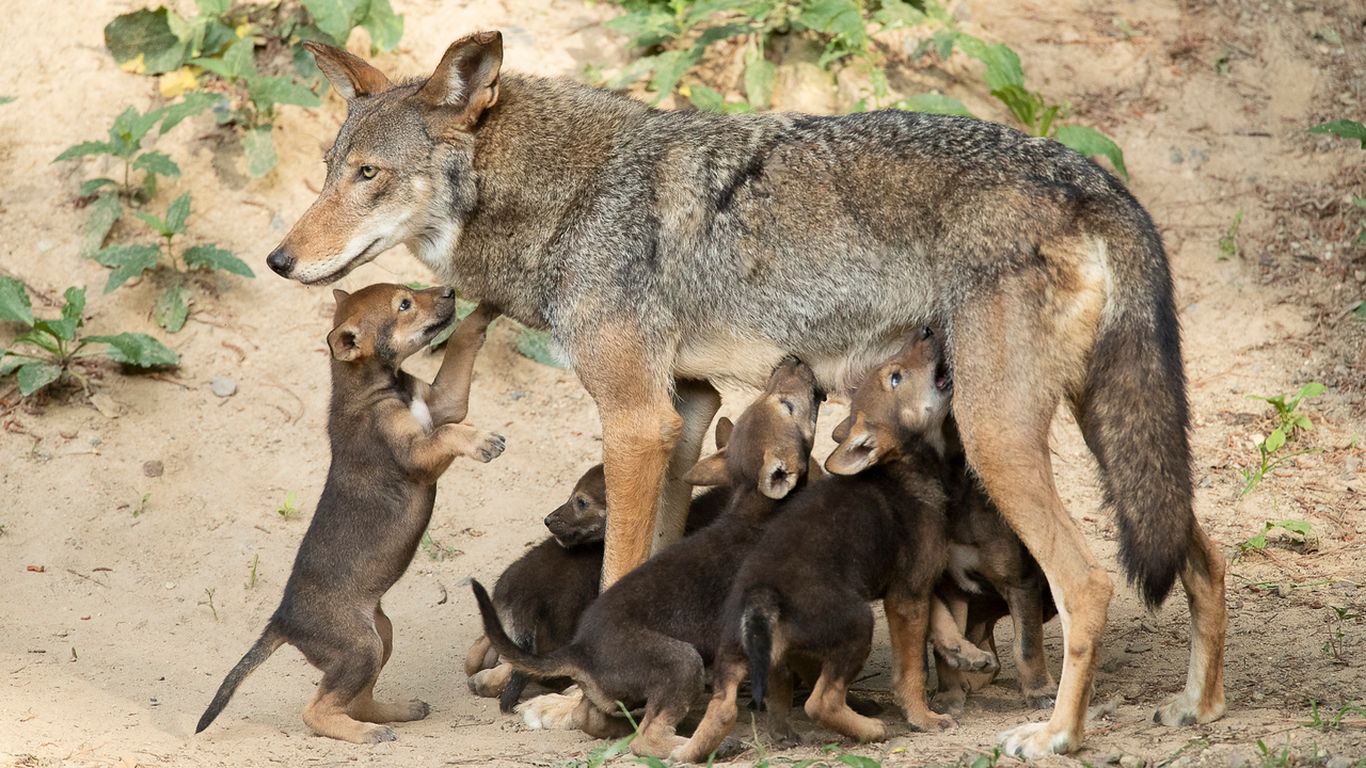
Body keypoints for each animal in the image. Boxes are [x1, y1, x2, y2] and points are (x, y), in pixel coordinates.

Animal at [264, 32, 1226, 756]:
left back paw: (1055, 734)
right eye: (329, 168)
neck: (571, 200)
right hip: (1111, 437)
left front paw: (576, 709)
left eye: (368, 176)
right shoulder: (685, 415)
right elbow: (645, 563)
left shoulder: (635, 421)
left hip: (1001, 438)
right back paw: (1198, 709)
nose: (277, 260)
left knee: (1090, 581)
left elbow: (613, 571)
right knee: (1202, 556)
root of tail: (1096, 179)